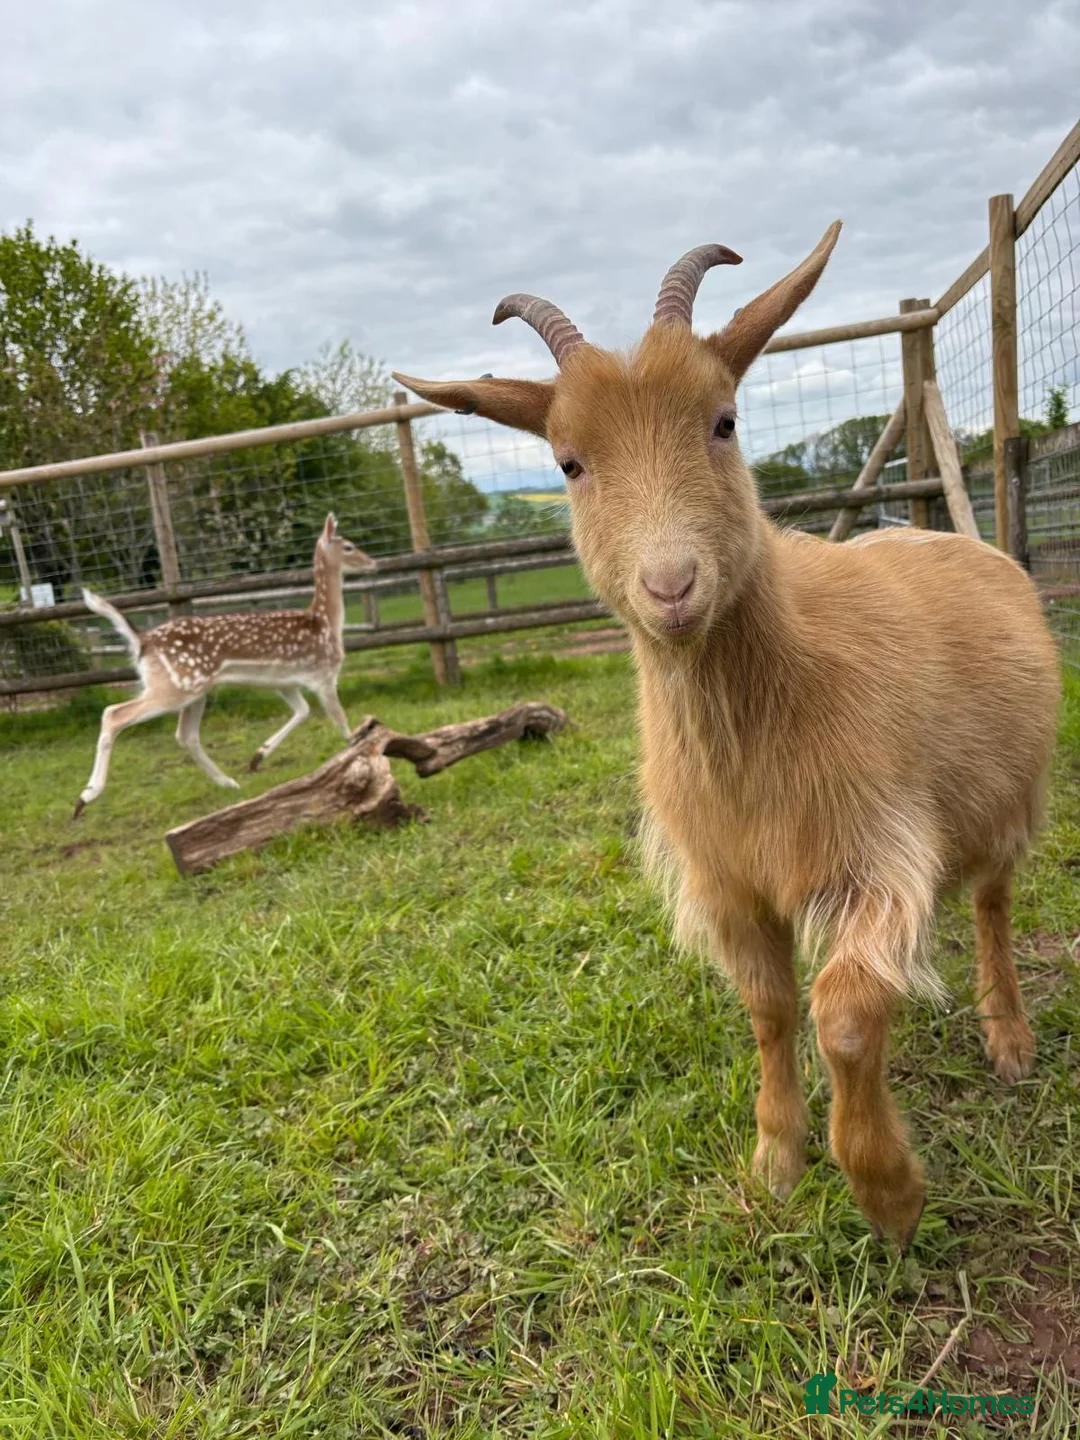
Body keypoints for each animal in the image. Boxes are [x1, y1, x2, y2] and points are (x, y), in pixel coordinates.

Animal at [75, 514, 374, 815]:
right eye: (349, 546)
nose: (373, 562)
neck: (326, 623)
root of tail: (143, 641)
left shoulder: (284, 682)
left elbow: (303, 712)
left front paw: (258, 756)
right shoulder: (324, 674)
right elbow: (340, 720)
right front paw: (357, 749)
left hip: (194, 690)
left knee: (185, 735)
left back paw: (228, 782)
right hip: (175, 685)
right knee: (114, 714)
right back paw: (86, 796)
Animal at [393, 226, 1061, 1245]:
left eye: (725, 422)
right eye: (568, 463)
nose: (671, 588)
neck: (779, 695)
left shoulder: (875, 847)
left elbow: (845, 1016)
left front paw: (889, 1194)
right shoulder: (730, 878)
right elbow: (772, 1009)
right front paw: (775, 1163)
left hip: (1007, 800)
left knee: (992, 906)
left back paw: (1010, 1038)